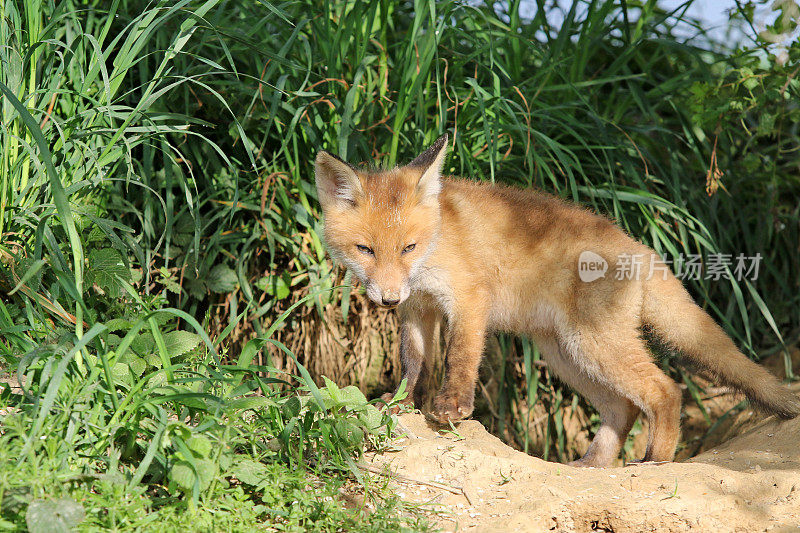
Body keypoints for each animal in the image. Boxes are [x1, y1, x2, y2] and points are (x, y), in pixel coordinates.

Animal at [314, 134, 800, 466]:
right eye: (366, 250)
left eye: (408, 248)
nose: (387, 298)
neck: (438, 241)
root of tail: (640, 247)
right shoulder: (418, 309)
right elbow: (414, 363)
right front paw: (399, 404)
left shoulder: (468, 300)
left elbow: (459, 356)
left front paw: (452, 407)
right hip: (567, 355)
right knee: (623, 408)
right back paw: (594, 466)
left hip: (594, 345)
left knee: (666, 390)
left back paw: (654, 462)